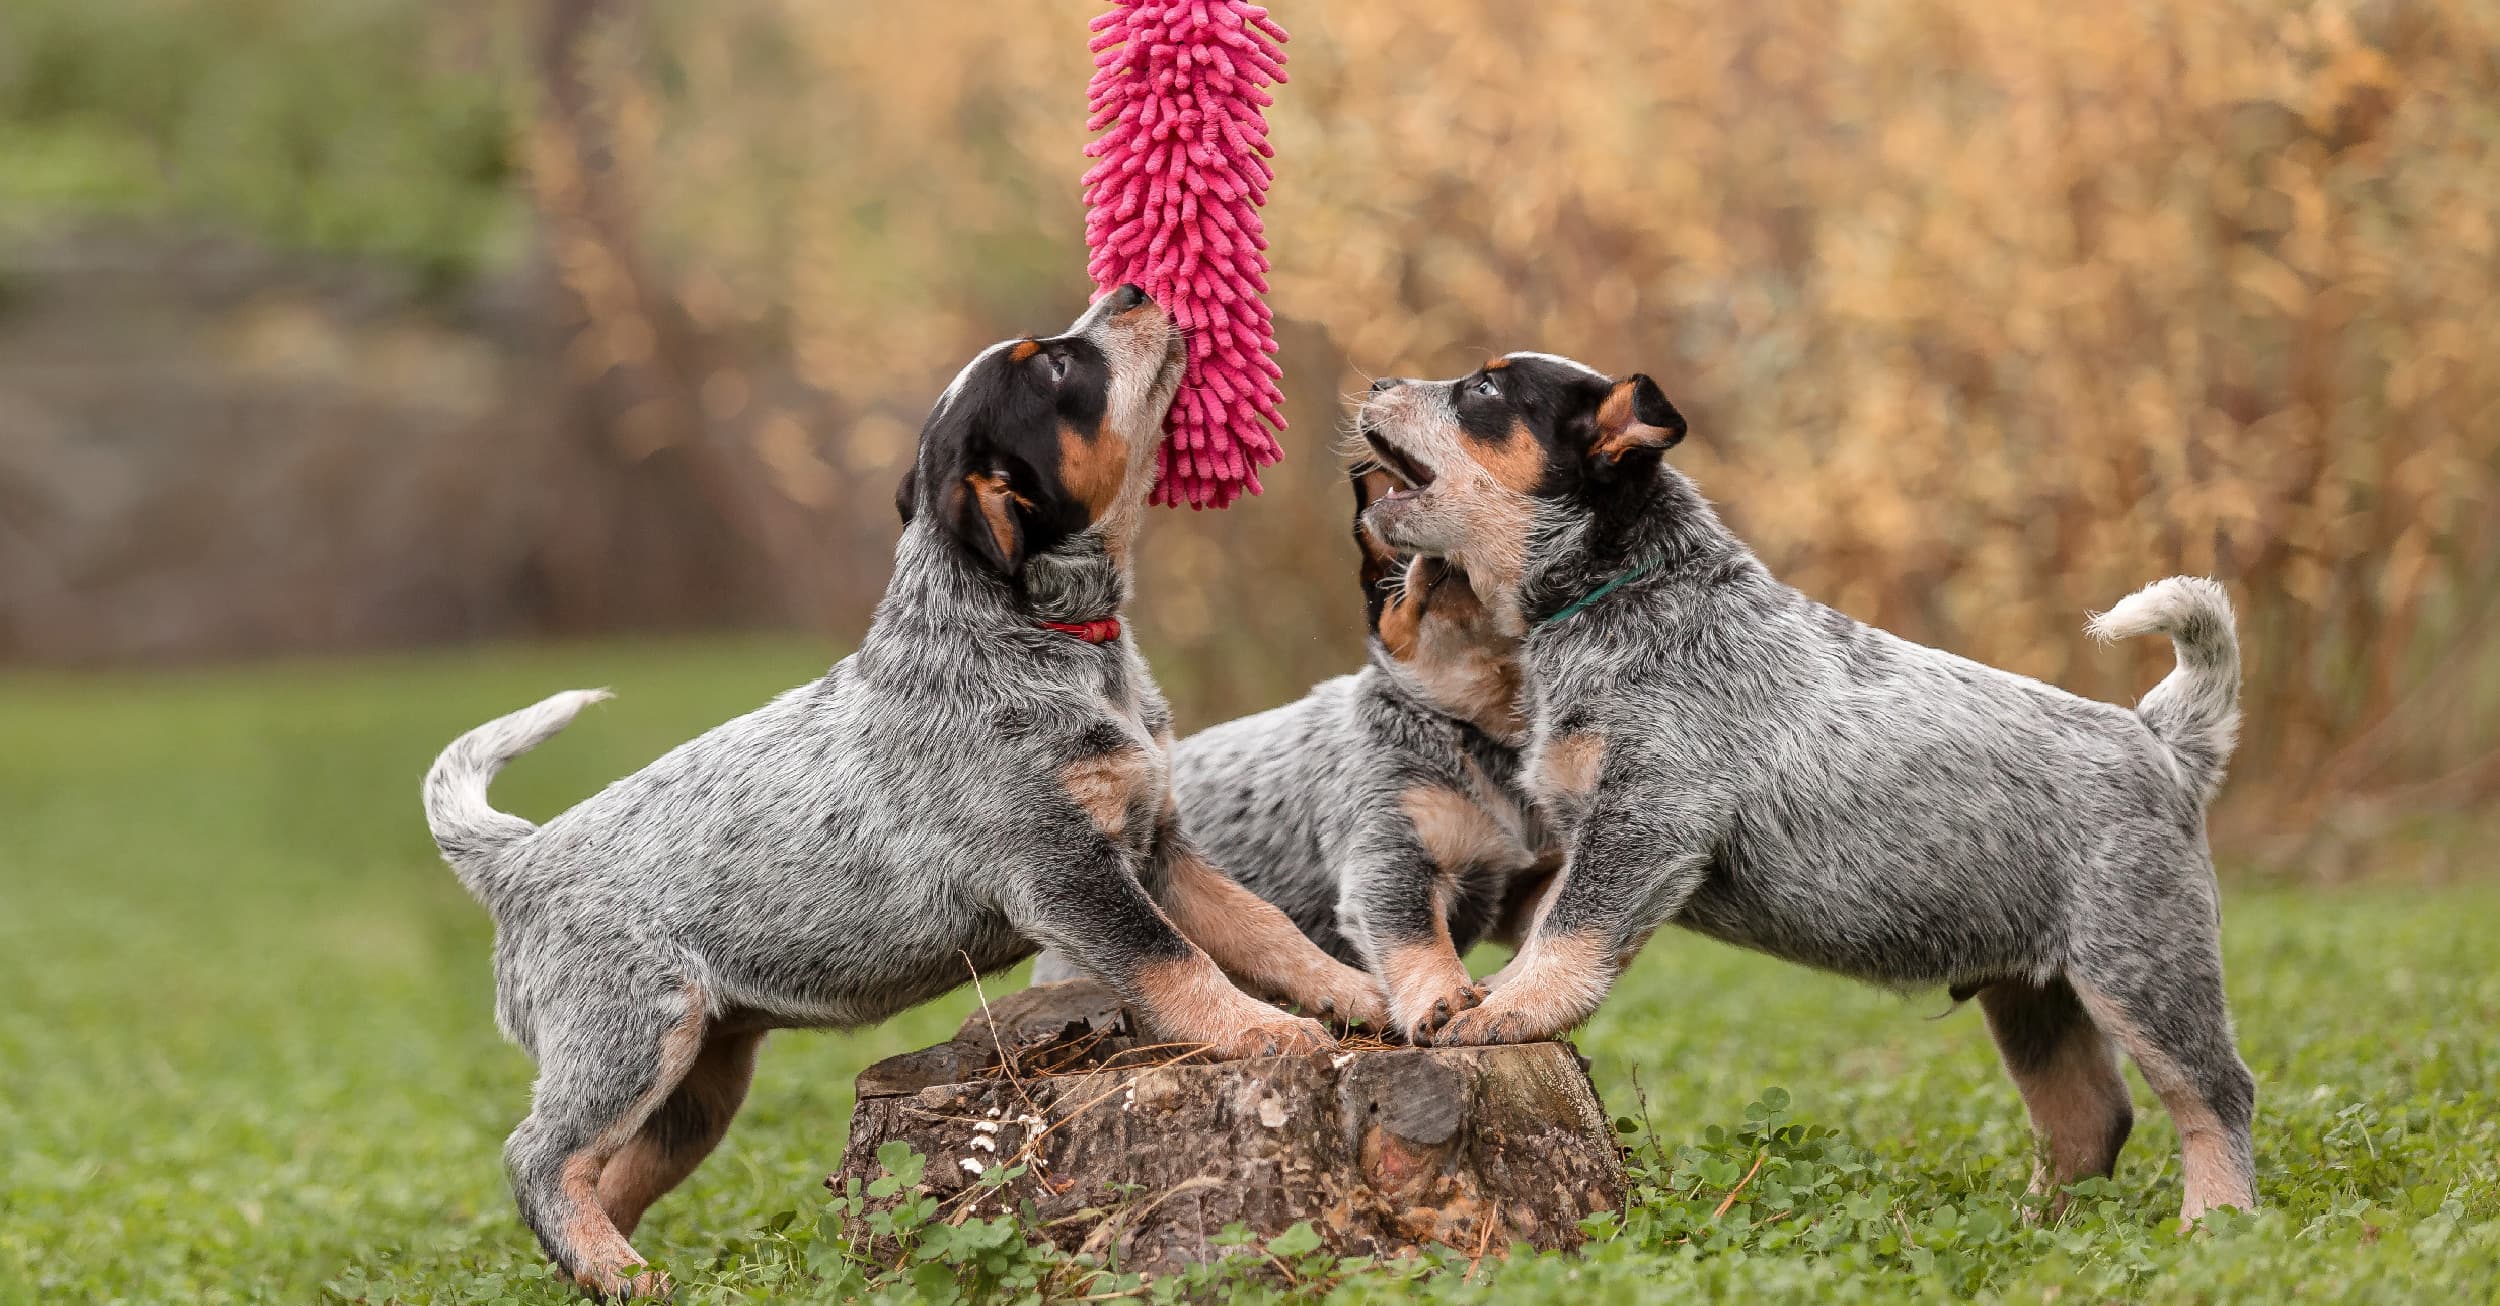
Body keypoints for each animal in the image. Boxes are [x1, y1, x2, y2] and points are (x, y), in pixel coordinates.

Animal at [417, 285, 1380, 1290]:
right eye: (1056, 367)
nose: (1132, 291)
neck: (1036, 637)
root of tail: (518, 859)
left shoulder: (1156, 850)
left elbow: (1265, 930)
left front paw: (1359, 998)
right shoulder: (1067, 872)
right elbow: (1176, 962)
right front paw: (1261, 1032)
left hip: (701, 1084)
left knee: (611, 1174)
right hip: (633, 1036)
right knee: (539, 1156)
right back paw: (619, 1273)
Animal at [1030, 465, 1540, 1035]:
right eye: (1393, 567)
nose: (1434, 554)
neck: (1474, 728)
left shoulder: (1527, 875)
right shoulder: (1389, 853)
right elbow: (1417, 938)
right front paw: (1443, 998)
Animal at [1360, 347, 2260, 1220]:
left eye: (1484, 390)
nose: (1376, 381)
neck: (1626, 593)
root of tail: (2162, 740)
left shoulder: (1649, 815)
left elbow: (1573, 932)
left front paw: (1510, 1008)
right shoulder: (1588, 830)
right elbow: (1549, 918)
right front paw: (1478, 993)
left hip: (2143, 967)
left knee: (2218, 1095)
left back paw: (2216, 1219)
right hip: (2034, 995)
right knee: (2090, 1116)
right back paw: (2034, 1224)